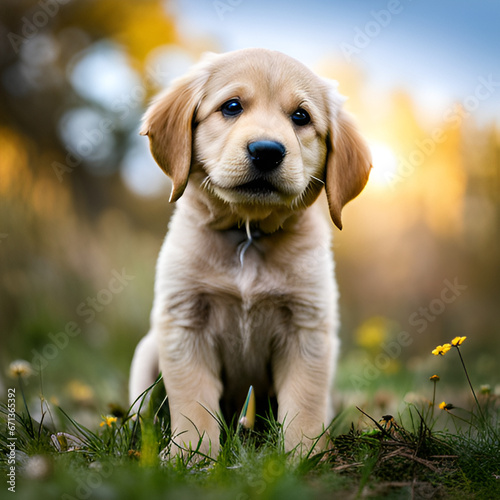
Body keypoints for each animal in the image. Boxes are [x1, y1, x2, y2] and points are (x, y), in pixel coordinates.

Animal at [129, 47, 372, 458]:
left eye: (301, 117)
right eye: (231, 106)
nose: (267, 151)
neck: (248, 235)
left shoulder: (308, 329)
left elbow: (304, 403)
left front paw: (304, 456)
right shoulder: (184, 323)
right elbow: (193, 401)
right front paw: (189, 455)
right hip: (147, 352)